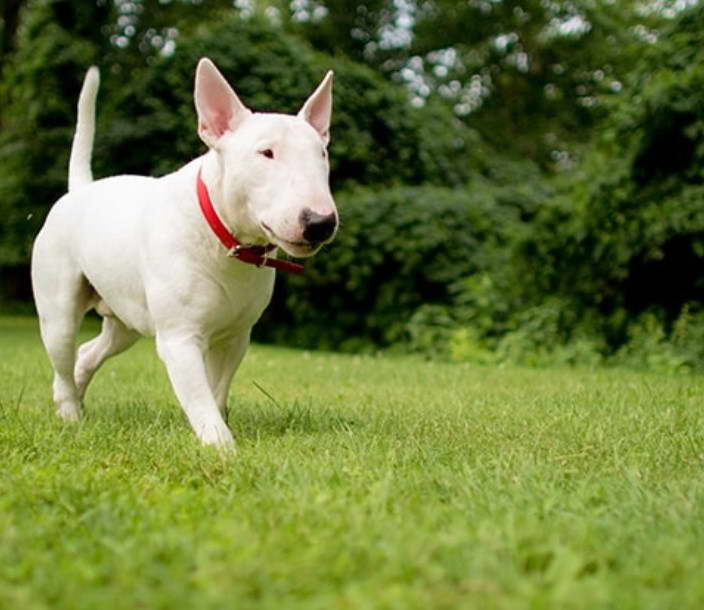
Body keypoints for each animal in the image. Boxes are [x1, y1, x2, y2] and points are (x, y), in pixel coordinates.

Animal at [32, 58, 338, 446]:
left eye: (322, 154)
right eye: (266, 152)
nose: (320, 222)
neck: (228, 245)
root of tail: (79, 190)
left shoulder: (236, 337)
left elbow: (216, 389)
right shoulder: (180, 338)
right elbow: (198, 395)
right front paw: (221, 445)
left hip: (126, 316)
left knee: (89, 352)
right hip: (58, 307)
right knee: (62, 356)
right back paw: (69, 413)